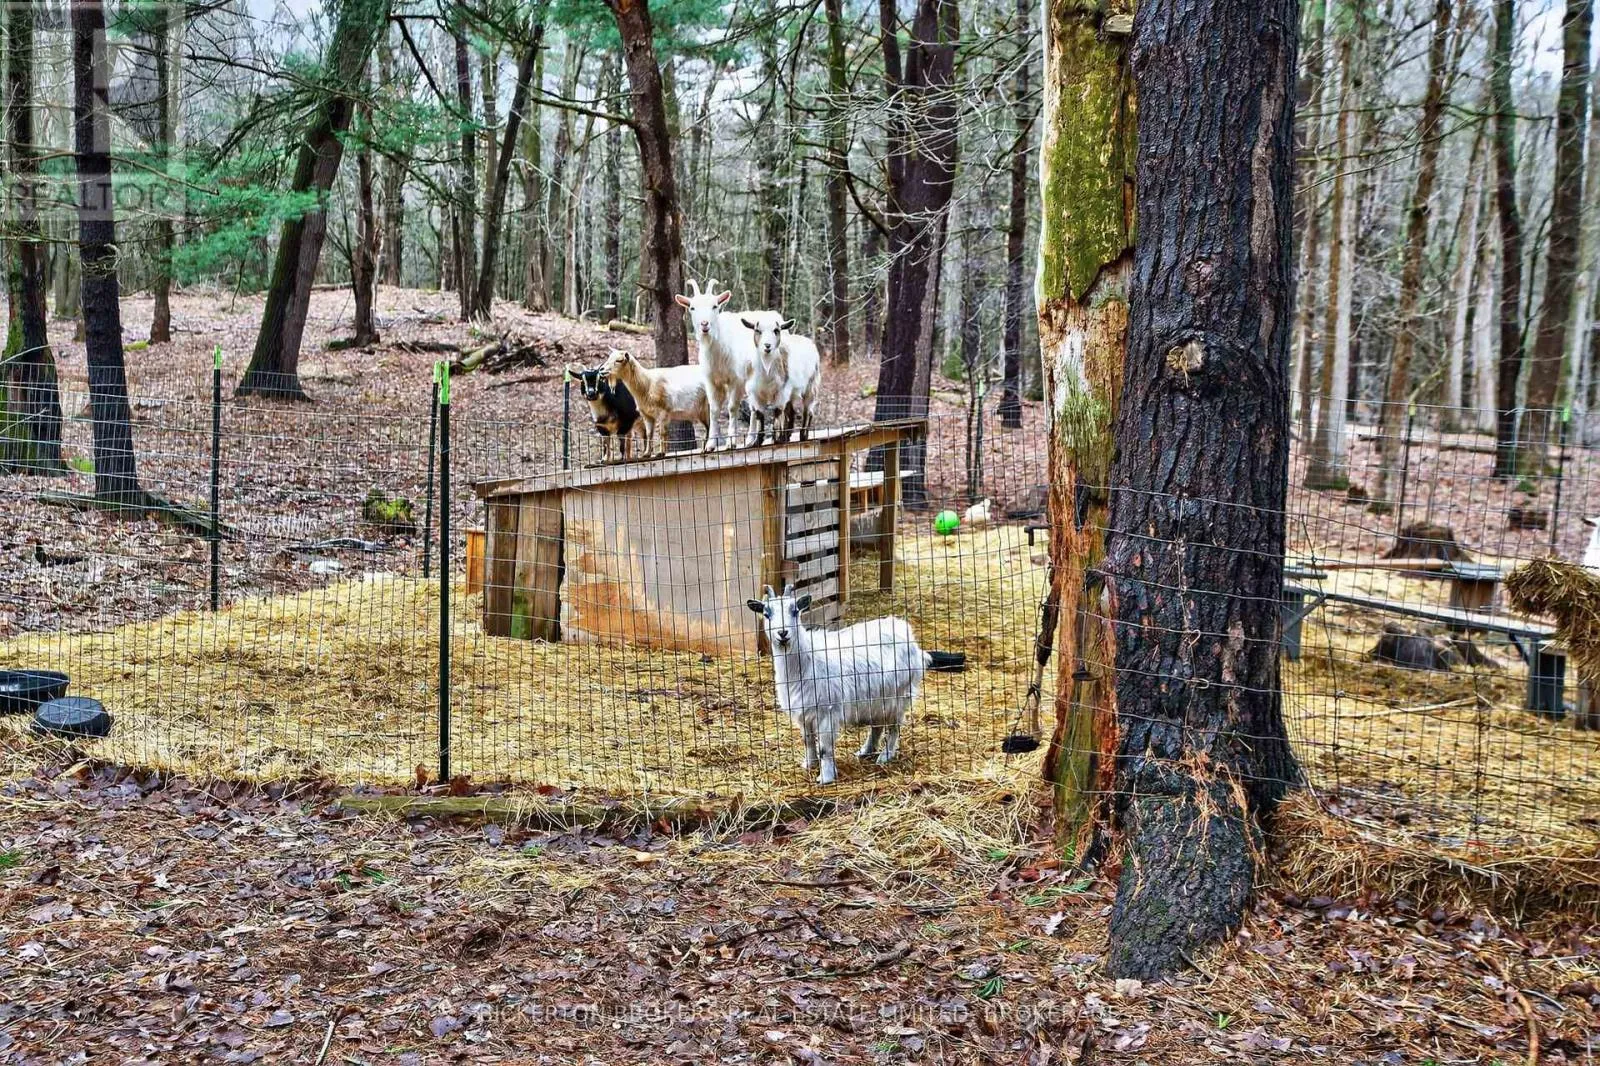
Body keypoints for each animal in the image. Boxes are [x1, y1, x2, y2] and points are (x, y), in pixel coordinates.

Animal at [673, 278, 756, 451]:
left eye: (715, 306)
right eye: (692, 307)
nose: (704, 324)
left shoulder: (736, 380)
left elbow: (732, 407)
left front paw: (731, 442)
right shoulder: (711, 381)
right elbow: (714, 409)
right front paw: (710, 444)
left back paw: (751, 438)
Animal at [739, 311, 822, 447]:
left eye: (776, 330)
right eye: (757, 330)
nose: (767, 346)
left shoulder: (781, 391)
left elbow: (777, 413)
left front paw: (777, 439)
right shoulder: (755, 393)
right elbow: (760, 415)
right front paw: (757, 442)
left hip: (811, 385)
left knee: (808, 410)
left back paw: (803, 435)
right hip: (791, 393)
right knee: (791, 412)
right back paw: (786, 436)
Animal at [746, 583, 930, 785]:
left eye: (795, 611)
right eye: (766, 614)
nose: (783, 633)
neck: (807, 660)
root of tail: (905, 631)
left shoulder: (827, 711)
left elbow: (825, 748)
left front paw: (825, 778)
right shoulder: (804, 713)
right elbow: (808, 740)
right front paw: (809, 764)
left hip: (899, 695)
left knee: (894, 727)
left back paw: (885, 756)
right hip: (876, 698)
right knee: (877, 726)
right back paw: (866, 751)